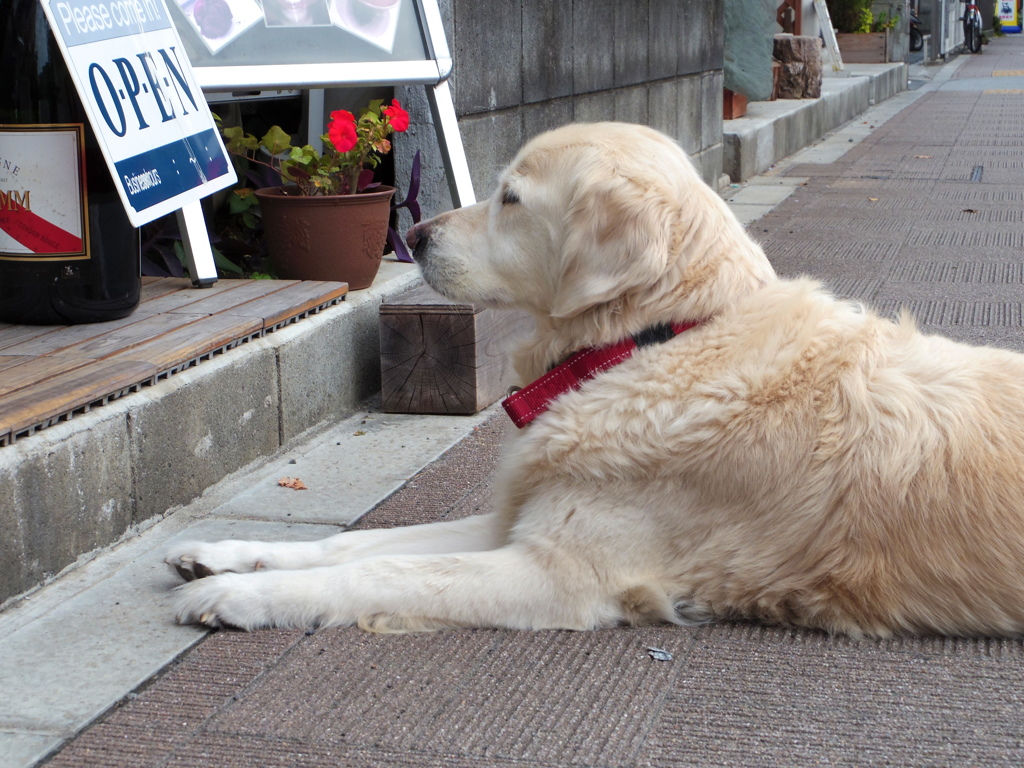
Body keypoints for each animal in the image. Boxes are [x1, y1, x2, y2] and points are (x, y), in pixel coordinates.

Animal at [163, 121, 1024, 638]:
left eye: (511, 197)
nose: (414, 231)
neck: (647, 344)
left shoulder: (561, 573)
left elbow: (383, 568)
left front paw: (235, 598)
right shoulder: (518, 522)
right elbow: (354, 545)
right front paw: (224, 556)